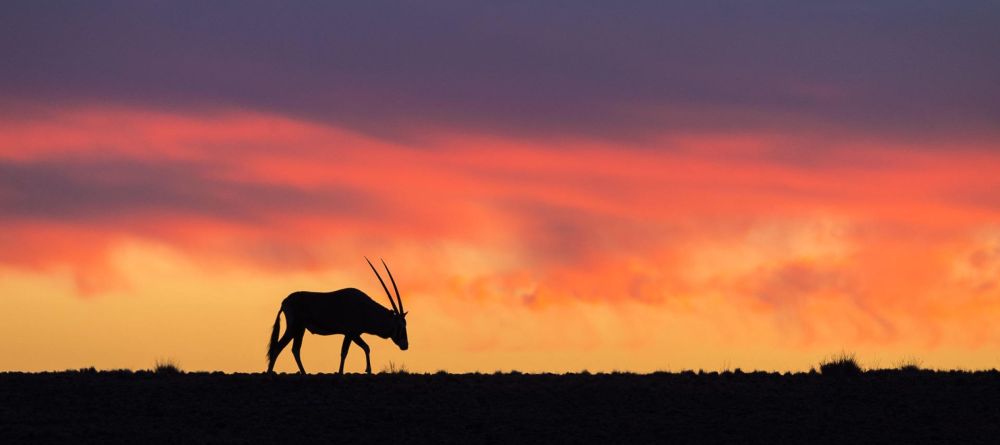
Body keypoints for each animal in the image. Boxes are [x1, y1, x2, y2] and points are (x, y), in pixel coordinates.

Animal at [266, 256, 410, 374]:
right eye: (400, 326)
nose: (405, 345)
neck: (365, 308)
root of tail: (285, 302)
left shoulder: (354, 334)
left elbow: (365, 347)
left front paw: (368, 370)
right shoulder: (351, 333)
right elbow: (345, 352)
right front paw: (342, 372)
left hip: (300, 329)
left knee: (295, 349)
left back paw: (303, 373)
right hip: (294, 327)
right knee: (278, 347)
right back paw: (270, 373)